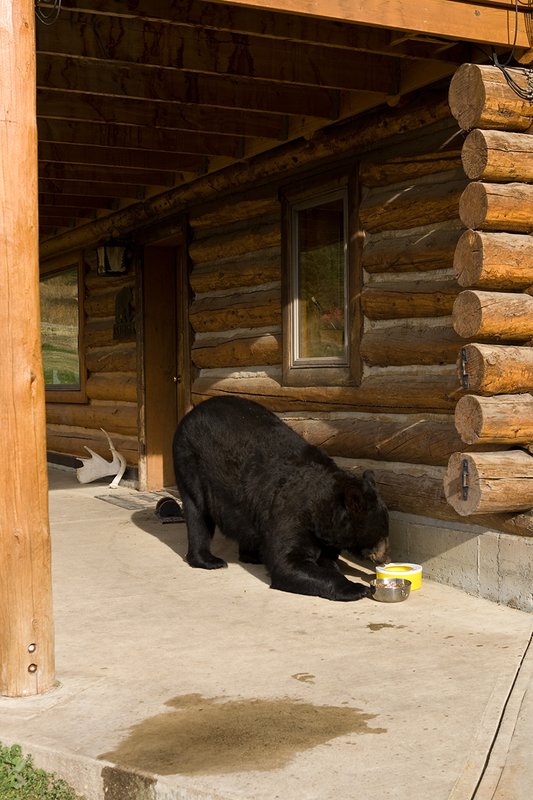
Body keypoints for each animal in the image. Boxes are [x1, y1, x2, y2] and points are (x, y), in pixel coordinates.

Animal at [172, 395, 389, 601]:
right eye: (382, 532)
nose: (383, 557)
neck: (321, 513)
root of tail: (193, 411)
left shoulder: (325, 535)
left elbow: (325, 559)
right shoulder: (292, 512)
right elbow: (288, 562)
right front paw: (356, 588)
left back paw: (252, 555)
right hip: (191, 461)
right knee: (197, 511)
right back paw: (209, 560)